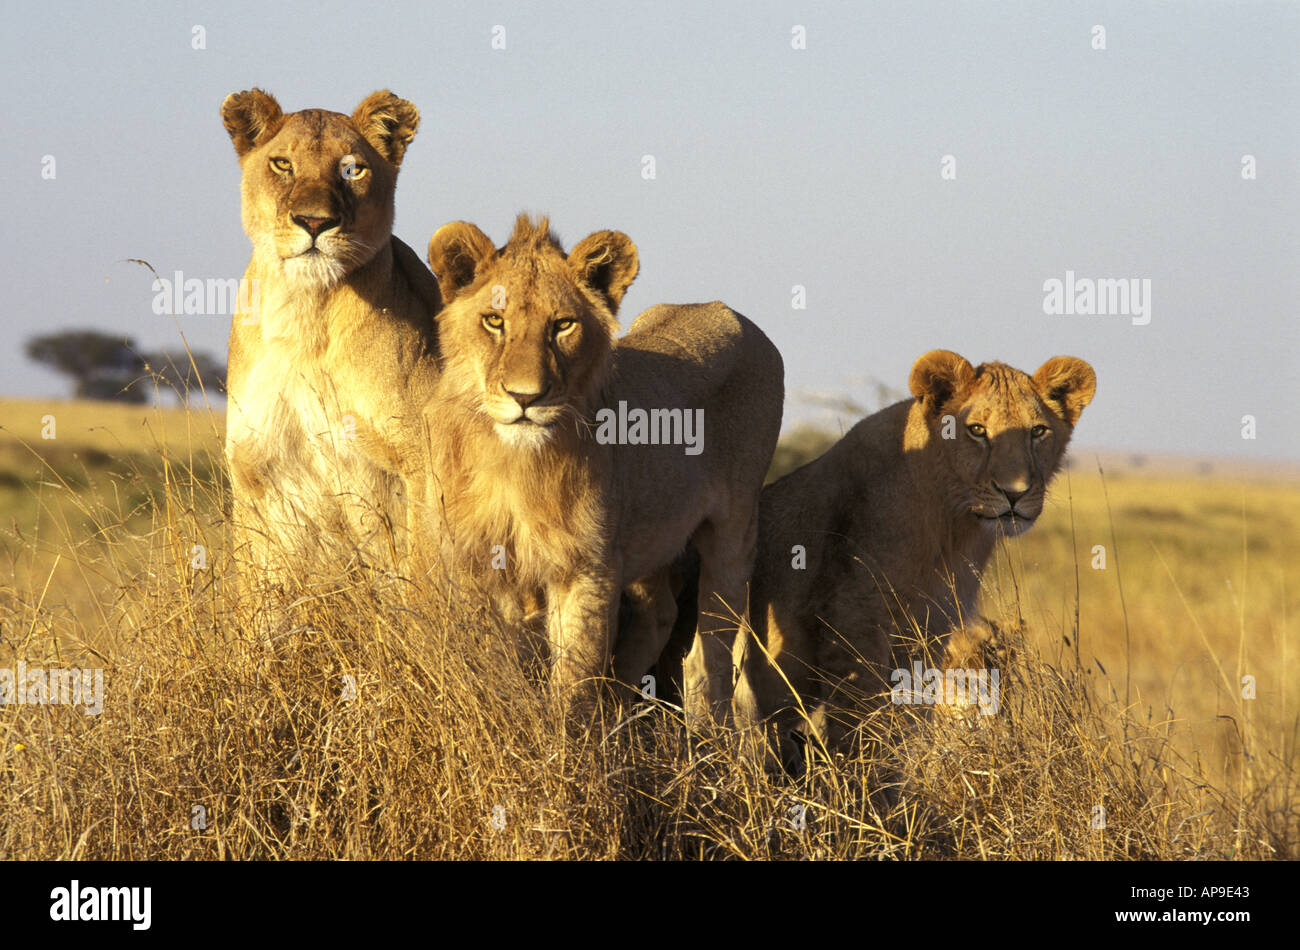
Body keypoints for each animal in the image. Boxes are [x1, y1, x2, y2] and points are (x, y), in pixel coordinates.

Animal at [222, 87, 441, 603]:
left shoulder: (424, 465)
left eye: (351, 169)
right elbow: (257, 602)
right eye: (282, 164)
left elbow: (424, 586)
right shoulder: (255, 473)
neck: (305, 315)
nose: (314, 222)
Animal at [421, 215, 780, 722]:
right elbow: (494, 668)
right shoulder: (473, 566)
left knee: (710, 651)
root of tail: (729, 312)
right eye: (494, 321)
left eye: (563, 326)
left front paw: (563, 741)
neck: (513, 464)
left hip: (734, 529)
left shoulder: (586, 568)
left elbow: (574, 680)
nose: (526, 397)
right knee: (661, 611)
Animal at [738, 353, 1092, 764]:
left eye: (1038, 431)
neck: (952, 527)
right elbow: (861, 719)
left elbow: (911, 710)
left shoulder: (931, 625)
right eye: (976, 430)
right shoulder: (852, 618)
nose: (1015, 493)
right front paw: (868, 777)